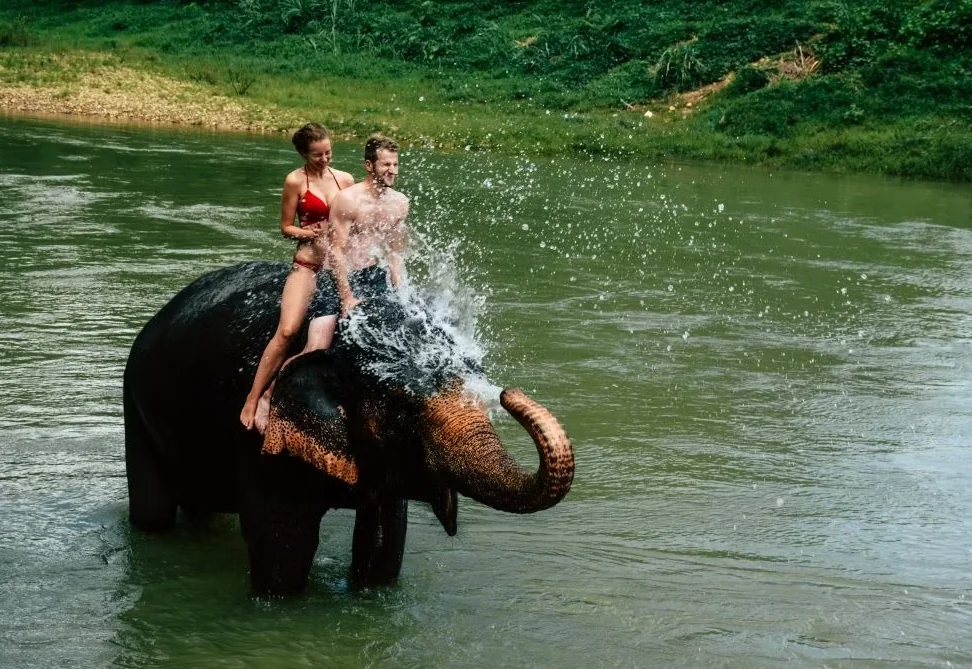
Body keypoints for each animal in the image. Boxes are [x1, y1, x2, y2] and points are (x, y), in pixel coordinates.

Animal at [123, 261, 574, 596]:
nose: (508, 393)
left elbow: (384, 539)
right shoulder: (259, 437)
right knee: (154, 513)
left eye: (476, 372)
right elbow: (283, 546)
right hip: (136, 402)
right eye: (402, 409)